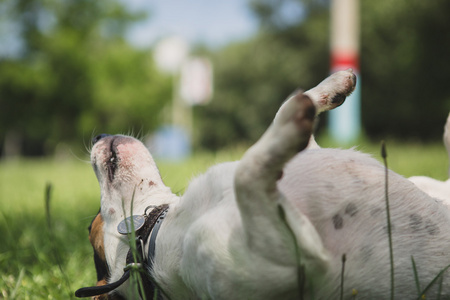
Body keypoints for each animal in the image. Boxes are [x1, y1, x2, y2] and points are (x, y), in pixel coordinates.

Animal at [75, 69, 450, 298]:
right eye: (94, 226)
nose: (98, 135)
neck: (155, 230)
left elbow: (282, 114)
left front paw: (328, 88)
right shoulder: (297, 260)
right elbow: (247, 172)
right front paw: (292, 123)